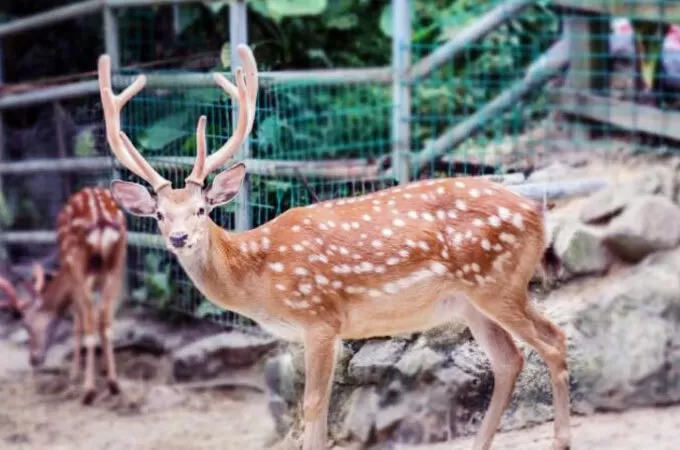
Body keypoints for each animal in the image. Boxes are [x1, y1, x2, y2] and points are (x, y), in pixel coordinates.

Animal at [0, 187, 127, 405]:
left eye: (26, 324)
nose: (33, 359)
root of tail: (102, 221)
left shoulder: (73, 275)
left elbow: (77, 323)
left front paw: (75, 373)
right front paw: (103, 370)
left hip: (78, 262)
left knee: (90, 321)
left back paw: (88, 391)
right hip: (118, 265)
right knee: (106, 320)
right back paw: (113, 384)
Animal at [98, 44, 570, 450]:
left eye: (201, 209)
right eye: (159, 216)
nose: (180, 238)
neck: (259, 277)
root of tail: (538, 214)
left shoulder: (319, 316)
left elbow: (312, 406)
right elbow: (320, 411)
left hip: (498, 283)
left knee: (553, 339)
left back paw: (562, 440)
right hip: (471, 302)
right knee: (509, 360)